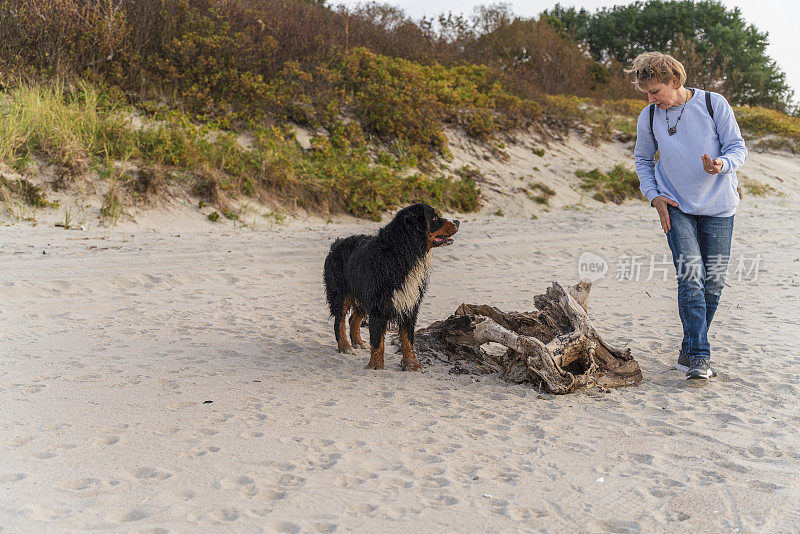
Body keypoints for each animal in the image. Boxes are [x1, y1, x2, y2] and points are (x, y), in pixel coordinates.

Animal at [324, 203, 460, 370]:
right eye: (434, 217)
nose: (457, 221)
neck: (404, 253)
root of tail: (337, 243)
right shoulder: (378, 304)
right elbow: (377, 340)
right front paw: (375, 365)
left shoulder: (409, 302)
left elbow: (408, 339)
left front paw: (411, 364)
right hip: (341, 294)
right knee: (339, 321)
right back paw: (345, 347)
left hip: (362, 295)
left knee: (353, 320)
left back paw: (358, 343)